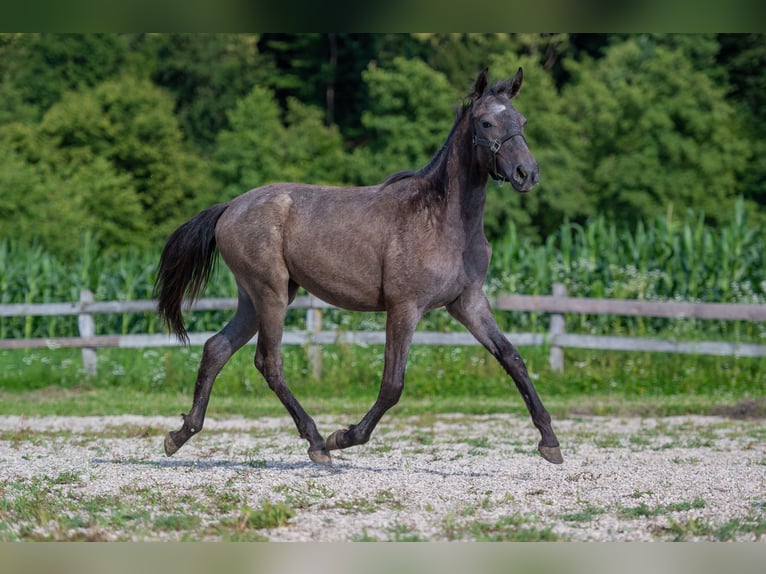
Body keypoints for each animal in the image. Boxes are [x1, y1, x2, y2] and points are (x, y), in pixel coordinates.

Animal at [154, 70, 564, 470]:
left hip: (255, 298)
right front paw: (345, 436)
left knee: (216, 348)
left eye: (521, 121)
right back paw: (318, 443)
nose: (527, 173)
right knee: (268, 362)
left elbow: (513, 358)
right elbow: (392, 384)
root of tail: (230, 207)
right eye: (486, 122)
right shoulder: (405, 307)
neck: (442, 219)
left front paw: (550, 442)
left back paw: (180, 434)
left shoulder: (468, 302)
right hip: (270, 294)